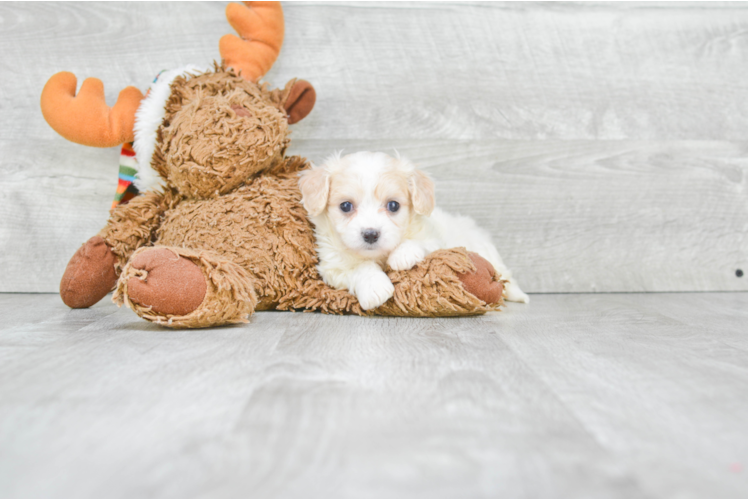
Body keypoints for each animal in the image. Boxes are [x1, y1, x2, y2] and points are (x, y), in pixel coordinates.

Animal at [296, 150, 528, 310]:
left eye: (393, 206)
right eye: (345, 206)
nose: (370, 234)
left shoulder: (435, 238)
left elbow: (420, 242)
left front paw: (403, 255)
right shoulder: (332, 267)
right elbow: (359, 268)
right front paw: (375, 287)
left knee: (506, 277)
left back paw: (519, 296)